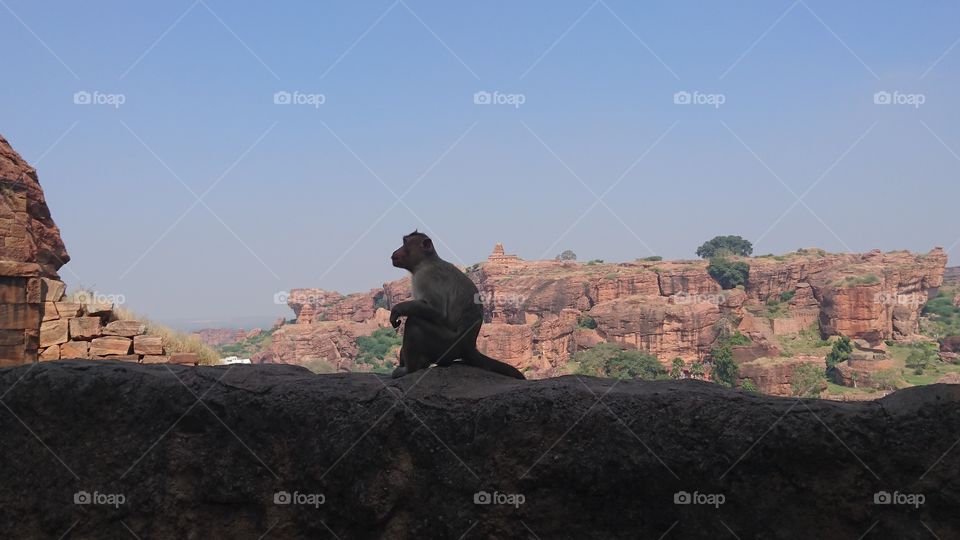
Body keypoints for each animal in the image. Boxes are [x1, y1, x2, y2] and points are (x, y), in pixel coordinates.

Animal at [388, 230, 525, 380]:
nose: (395, 251)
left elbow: (437, 310)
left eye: (405, 243)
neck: (424, 263)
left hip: (446, 345)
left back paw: (410, 369)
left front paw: (397, 310)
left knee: (414, 322)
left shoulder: (427, 276)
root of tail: (469, 346)